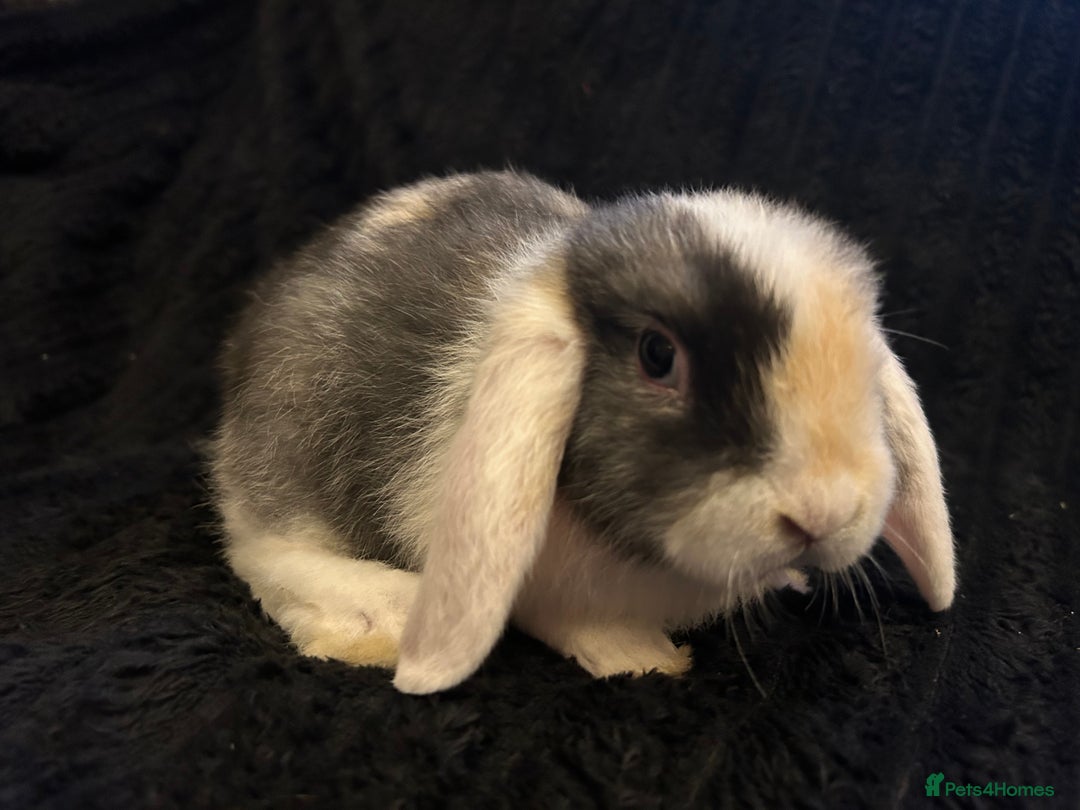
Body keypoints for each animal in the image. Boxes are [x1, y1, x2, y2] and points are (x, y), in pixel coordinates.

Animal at [210, 170, 956, 695]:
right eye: (657, 355)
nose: (824, 511)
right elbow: (567, 619)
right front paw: (643, 657)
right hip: (294, 438)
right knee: (261, 547)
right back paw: (378, 619)